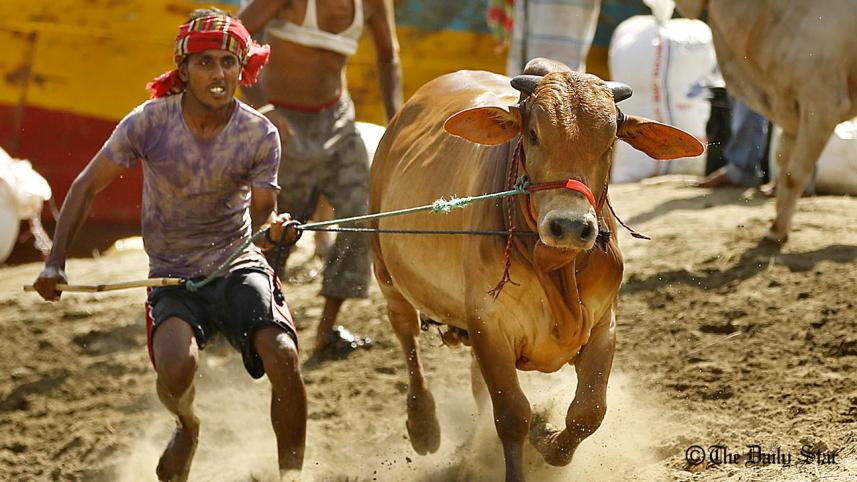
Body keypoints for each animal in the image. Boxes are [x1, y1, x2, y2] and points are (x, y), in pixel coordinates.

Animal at [368, 58, 703, 481]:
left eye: (610, 139)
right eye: (532, 134)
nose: (571, 226)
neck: (555, 266)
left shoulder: (602, 324)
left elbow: (588, 412)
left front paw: (547, 439)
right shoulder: (488, 325)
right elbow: (512, 415)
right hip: (385, 271)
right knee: (406, 335)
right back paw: (423, 425)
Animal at [675, 0, 857, 243]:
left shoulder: (823, 105)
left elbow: (794, 174)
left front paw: (777, 230)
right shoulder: (790, 112)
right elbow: (782, 163)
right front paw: (778, 227)